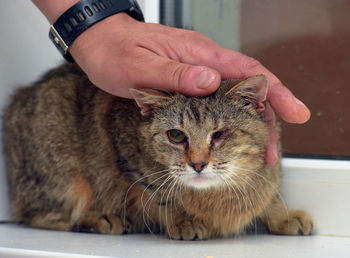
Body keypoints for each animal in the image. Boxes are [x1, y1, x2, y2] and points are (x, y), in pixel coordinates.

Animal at [2, 63, 314, 240]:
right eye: (176, 135)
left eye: (219, 134)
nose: (198, 164)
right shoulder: (125, 151)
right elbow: (162, 195)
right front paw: (184, 220)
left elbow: (270, 194)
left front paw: (284, 215)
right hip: (65, 176)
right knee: (37, 214)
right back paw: (100, 219)